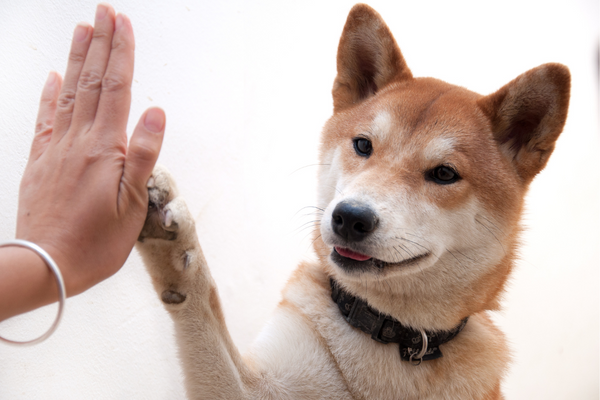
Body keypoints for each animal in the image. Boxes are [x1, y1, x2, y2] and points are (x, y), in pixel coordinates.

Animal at [135, 3, 568, 400]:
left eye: (444, 174)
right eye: (363, 145)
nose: (350, 218)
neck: (393, 335)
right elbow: (206, 304)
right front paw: (172, 247)